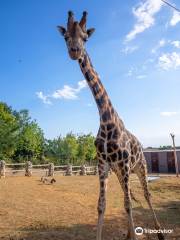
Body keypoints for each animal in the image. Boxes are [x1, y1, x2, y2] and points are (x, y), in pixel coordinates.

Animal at [57, 11, 165, 240]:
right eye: (66, 37)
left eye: (85, 38)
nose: (74, 51)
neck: (106, 120)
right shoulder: (103, 165)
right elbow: (102, 205)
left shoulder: (123, 164)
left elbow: (128, 204)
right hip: (120, 172)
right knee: (127, 194)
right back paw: (128, 233)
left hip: (139, 167)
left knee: (146, 194)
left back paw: (159, 232)